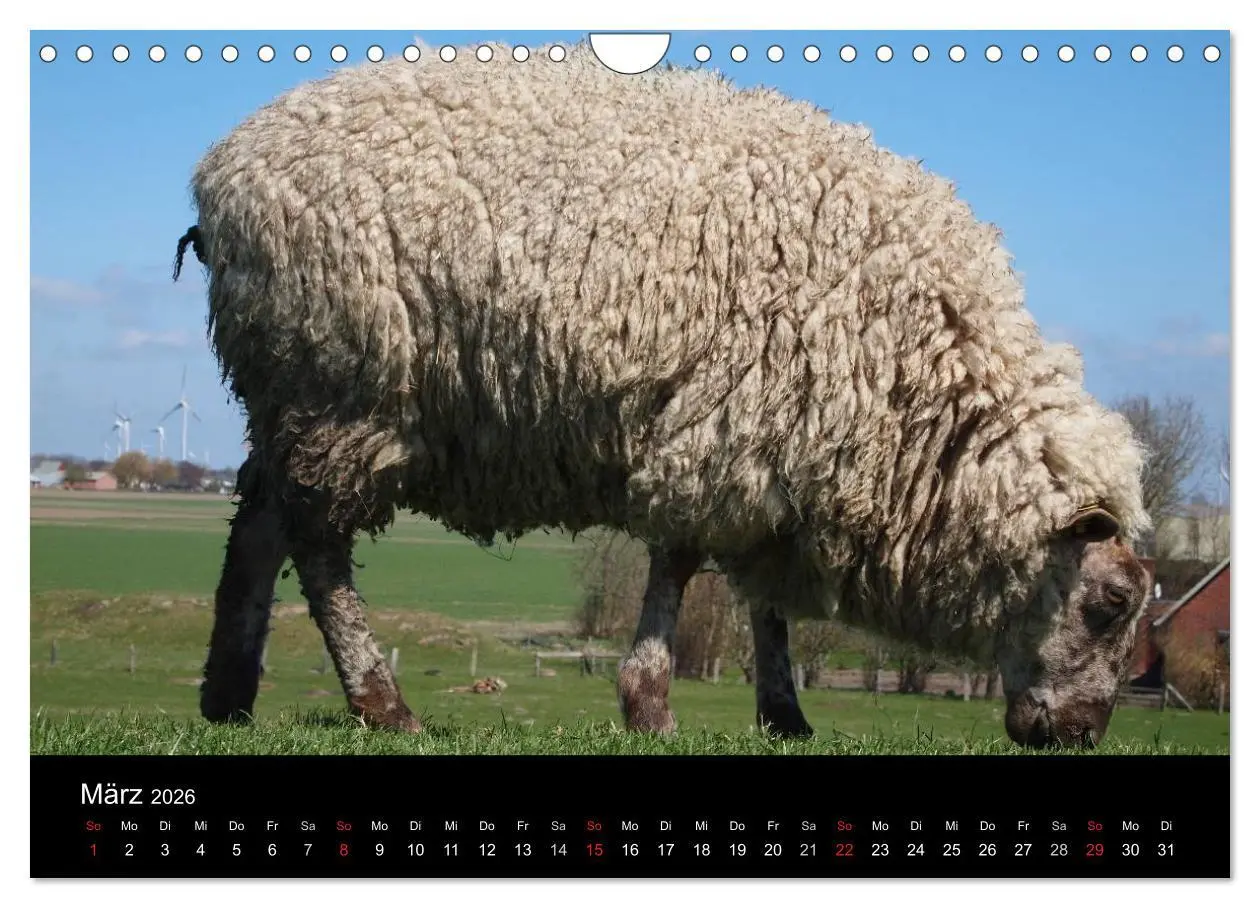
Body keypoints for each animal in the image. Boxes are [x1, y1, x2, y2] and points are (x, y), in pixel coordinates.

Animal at [174, 39, 1152, 748]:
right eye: (1107, 608)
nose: (1082, 735)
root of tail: (224, 168)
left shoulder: (779, 447)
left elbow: (763, 601)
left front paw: (784, 717)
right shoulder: (724, 430)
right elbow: (683, 569)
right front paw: (649, 703)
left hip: (289, 388)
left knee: (258, 519)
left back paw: (228, 694)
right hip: (345, 382)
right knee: (318, 544)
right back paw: (381, 703)